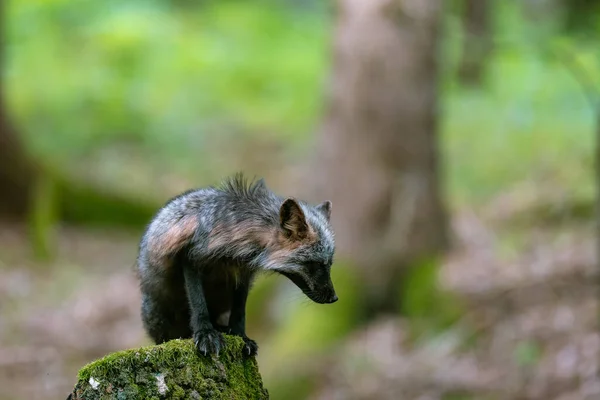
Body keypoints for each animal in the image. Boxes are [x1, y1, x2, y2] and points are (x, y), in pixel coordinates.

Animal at [135, 172, 338, 356]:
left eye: (329, 264)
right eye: (316, 264)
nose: (334, 299)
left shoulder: (243, 274)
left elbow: (240, 311)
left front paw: (241, 337)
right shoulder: (190, 259)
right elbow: (199, 305)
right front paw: (206, 334)